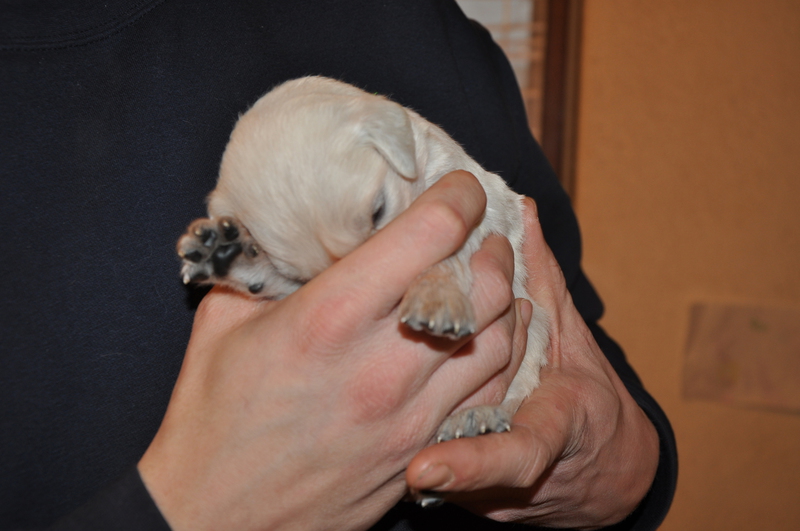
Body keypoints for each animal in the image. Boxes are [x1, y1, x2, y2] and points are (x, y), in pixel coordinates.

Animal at [177, 76, 549, 448]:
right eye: (305, 281)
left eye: (377, 211)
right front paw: (230, 254)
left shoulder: (483, 200)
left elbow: (446, 252)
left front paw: (435, 297)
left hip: (535, 332)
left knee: (517, 387)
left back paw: (476, 415)